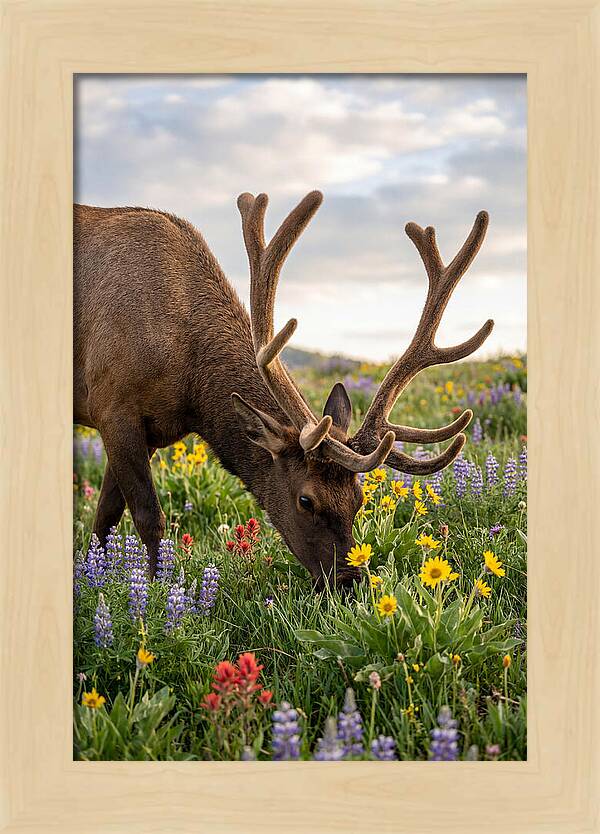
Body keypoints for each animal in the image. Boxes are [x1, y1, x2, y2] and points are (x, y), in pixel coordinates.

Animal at [74, 191, 493, 589]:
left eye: (359, 498)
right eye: (306, 500)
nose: (348, 581)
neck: (191, 387)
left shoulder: (150, 430)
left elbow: (105, 517)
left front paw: (94, 578)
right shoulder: (112, 406)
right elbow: (147, 516)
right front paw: (154, 591)